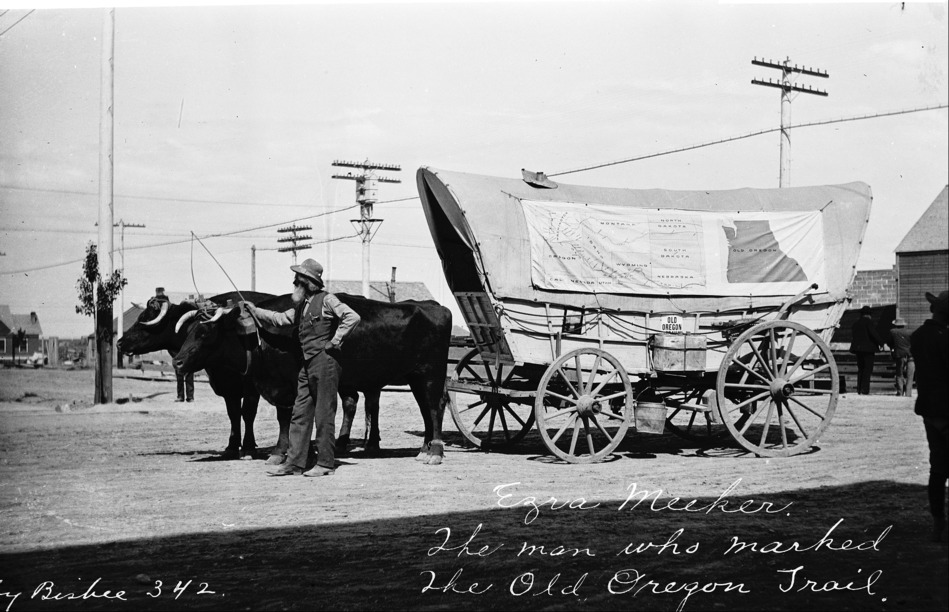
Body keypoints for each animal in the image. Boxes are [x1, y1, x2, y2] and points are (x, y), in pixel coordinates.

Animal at [116, 291, 279, 460]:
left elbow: (247, 413)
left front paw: (248, 447)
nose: (119, 343)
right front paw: (232, 446)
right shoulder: (228, 387)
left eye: (145, 319)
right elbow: (233, 414)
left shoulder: (250, 386)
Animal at [172, 293, 452, 465]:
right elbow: (285, 418)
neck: (262, 337)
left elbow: (289, 417)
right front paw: (288, 452)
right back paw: (424, 450)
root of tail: (432, 305)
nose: (177, 362)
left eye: (205, 333)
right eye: (188, 331)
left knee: (435, 409)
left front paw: (285, 452)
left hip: (431, 375)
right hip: (416, 379)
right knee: (426, 411)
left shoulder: (289, 386)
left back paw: (436, 452)